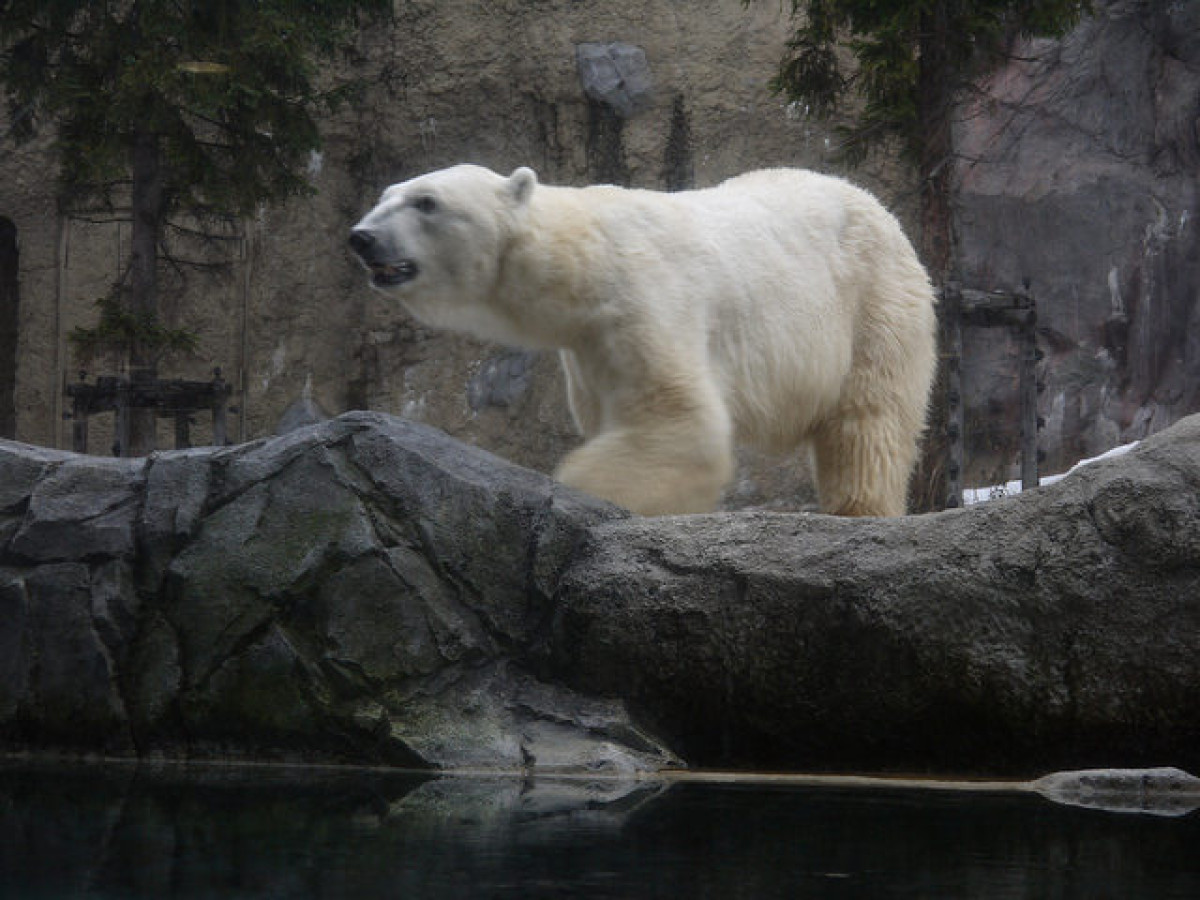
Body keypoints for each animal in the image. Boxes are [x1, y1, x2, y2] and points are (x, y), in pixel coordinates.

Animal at [349, 164, 937, 517]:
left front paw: (580, 493)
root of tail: (880, 209)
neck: (585, 259)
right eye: (384, 196)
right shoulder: (588, 351)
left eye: (427, 202)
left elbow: (680, 424)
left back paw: (860, 509)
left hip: (874, 301)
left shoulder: (645, 299)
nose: (362, 237)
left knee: (868, 420)